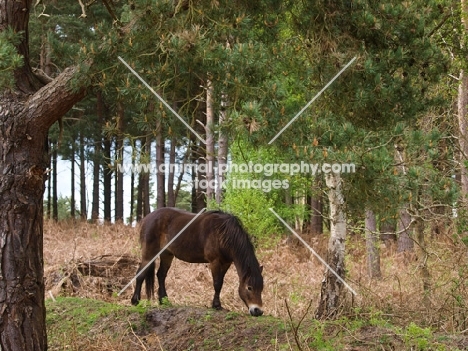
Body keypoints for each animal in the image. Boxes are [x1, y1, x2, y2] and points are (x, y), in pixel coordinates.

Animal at [131, 208, 264, 318]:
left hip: (167, 254)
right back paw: (135, 300)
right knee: (140, 273)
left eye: (261, 287)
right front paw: (216, 305)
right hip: (149, 253)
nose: (258, 311)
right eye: (249, 287)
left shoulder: (226, 263)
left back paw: (164, 300)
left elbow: (220, 282)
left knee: (161, 275)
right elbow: (217, 283)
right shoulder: (215, 261)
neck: (224, 234)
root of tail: (146, 218)